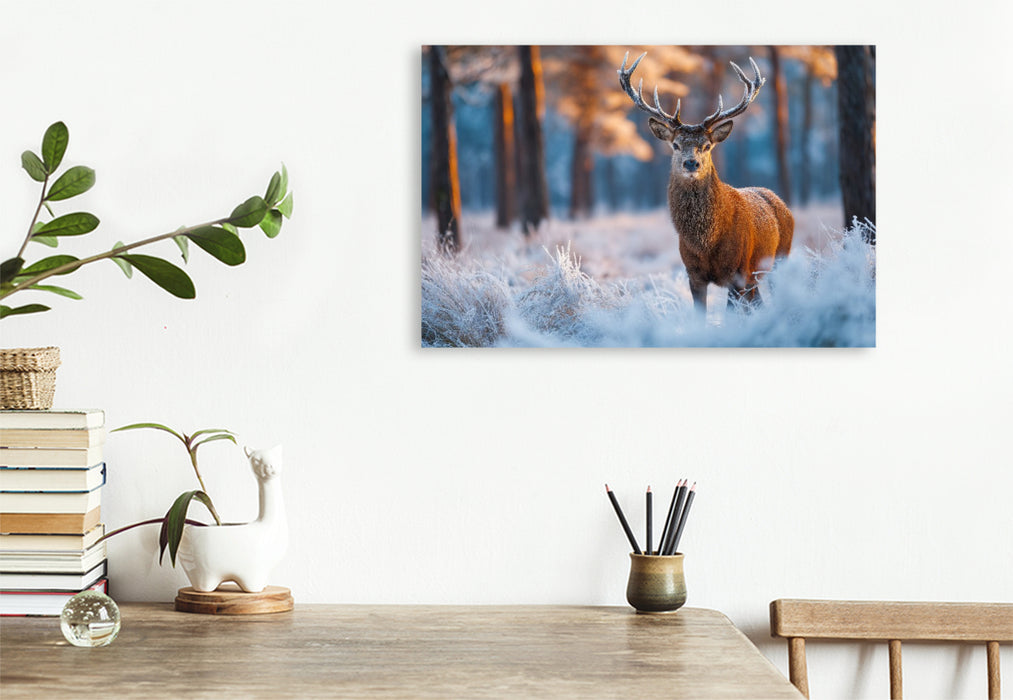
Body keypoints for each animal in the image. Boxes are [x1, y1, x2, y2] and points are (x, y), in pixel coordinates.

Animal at [618, 52, 793, 313]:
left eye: (707, 145)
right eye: (675, 145)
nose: (691, 163)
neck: (706, 243)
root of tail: (779, 201)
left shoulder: (738, 272)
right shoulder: (693, 274)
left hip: (780, 257)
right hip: (756, 275)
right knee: (758, 302)